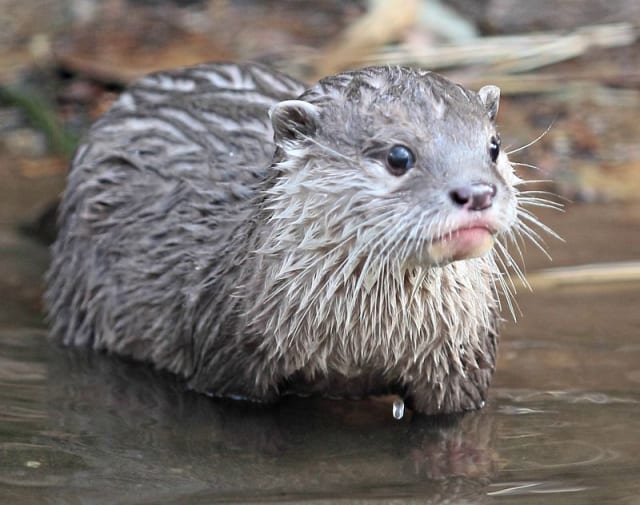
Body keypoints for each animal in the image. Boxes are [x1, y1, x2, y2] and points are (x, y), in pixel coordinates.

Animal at [46, 62, 542, 416]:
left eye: (493, 146)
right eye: (399, 156)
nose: (477, 192)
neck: (359, 341)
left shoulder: (464, 364)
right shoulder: (229, 363)